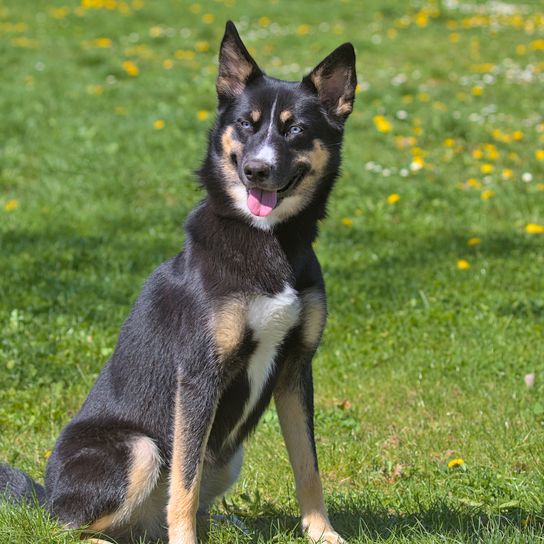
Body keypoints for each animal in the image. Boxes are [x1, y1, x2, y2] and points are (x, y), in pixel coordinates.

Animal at [0, 21, 356, 544]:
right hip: (139, 448)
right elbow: (184, 482)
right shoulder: (198, 377)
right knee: (68, 527)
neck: (266, 239)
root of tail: (47, 495)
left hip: (229, 457)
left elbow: (308, 466)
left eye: (295, 129)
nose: (257, 170)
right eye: (246, 124)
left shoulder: (296, 367)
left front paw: (322, 533)